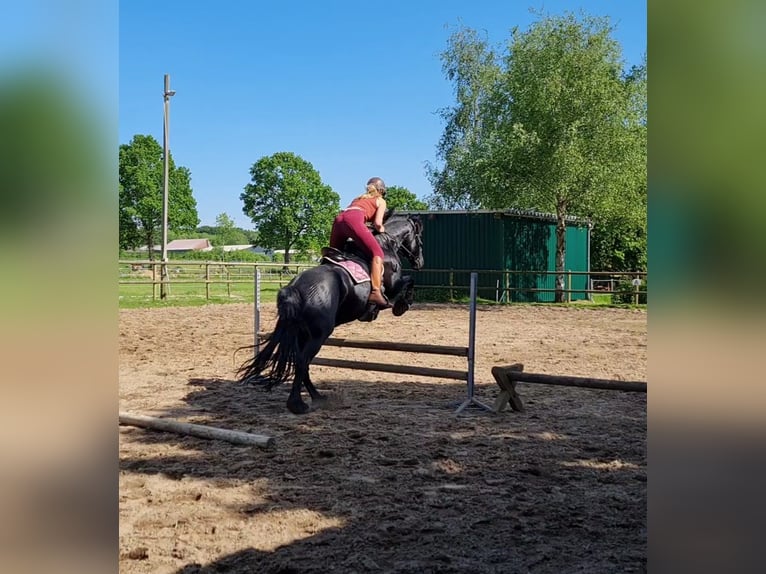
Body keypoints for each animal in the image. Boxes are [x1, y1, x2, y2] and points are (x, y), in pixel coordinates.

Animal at [237, 212, 424, 414]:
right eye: (420, 240)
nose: (420, 262)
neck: (385, 243)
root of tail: (295, 288)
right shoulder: (392, 287)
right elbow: (409, 281)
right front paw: (401, 306)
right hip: (319, 335)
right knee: (302, 362)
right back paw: (298, 404)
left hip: (302, 334)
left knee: (302, 364)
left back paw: (318, 397)